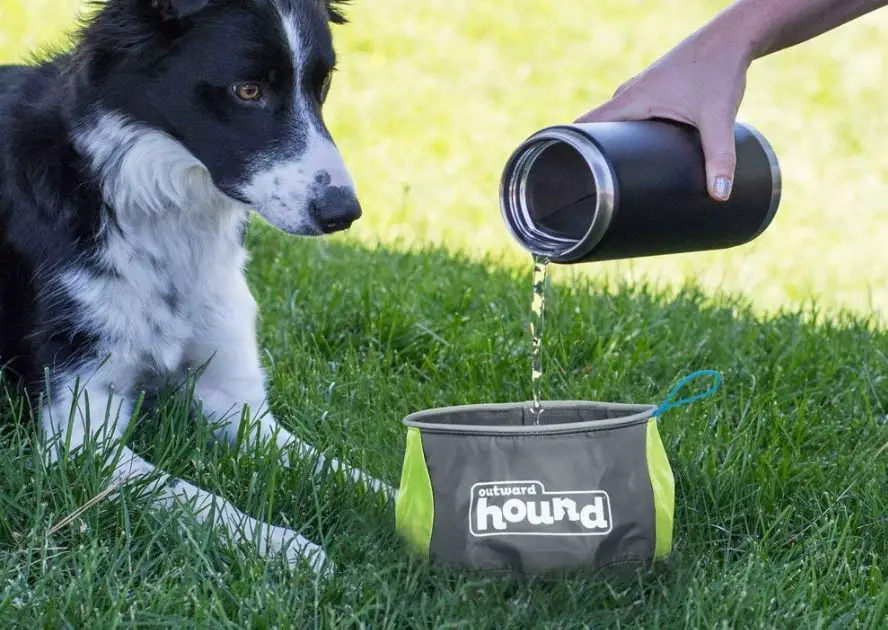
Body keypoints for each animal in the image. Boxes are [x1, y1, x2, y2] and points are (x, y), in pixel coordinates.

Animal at [0, 0, 392, 576]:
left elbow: (347, 473)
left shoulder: (235, 398)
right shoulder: (76, 431)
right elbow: (196, 497)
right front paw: (284, 545)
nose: (344, 213)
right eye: (247, 90)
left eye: (321, 86)